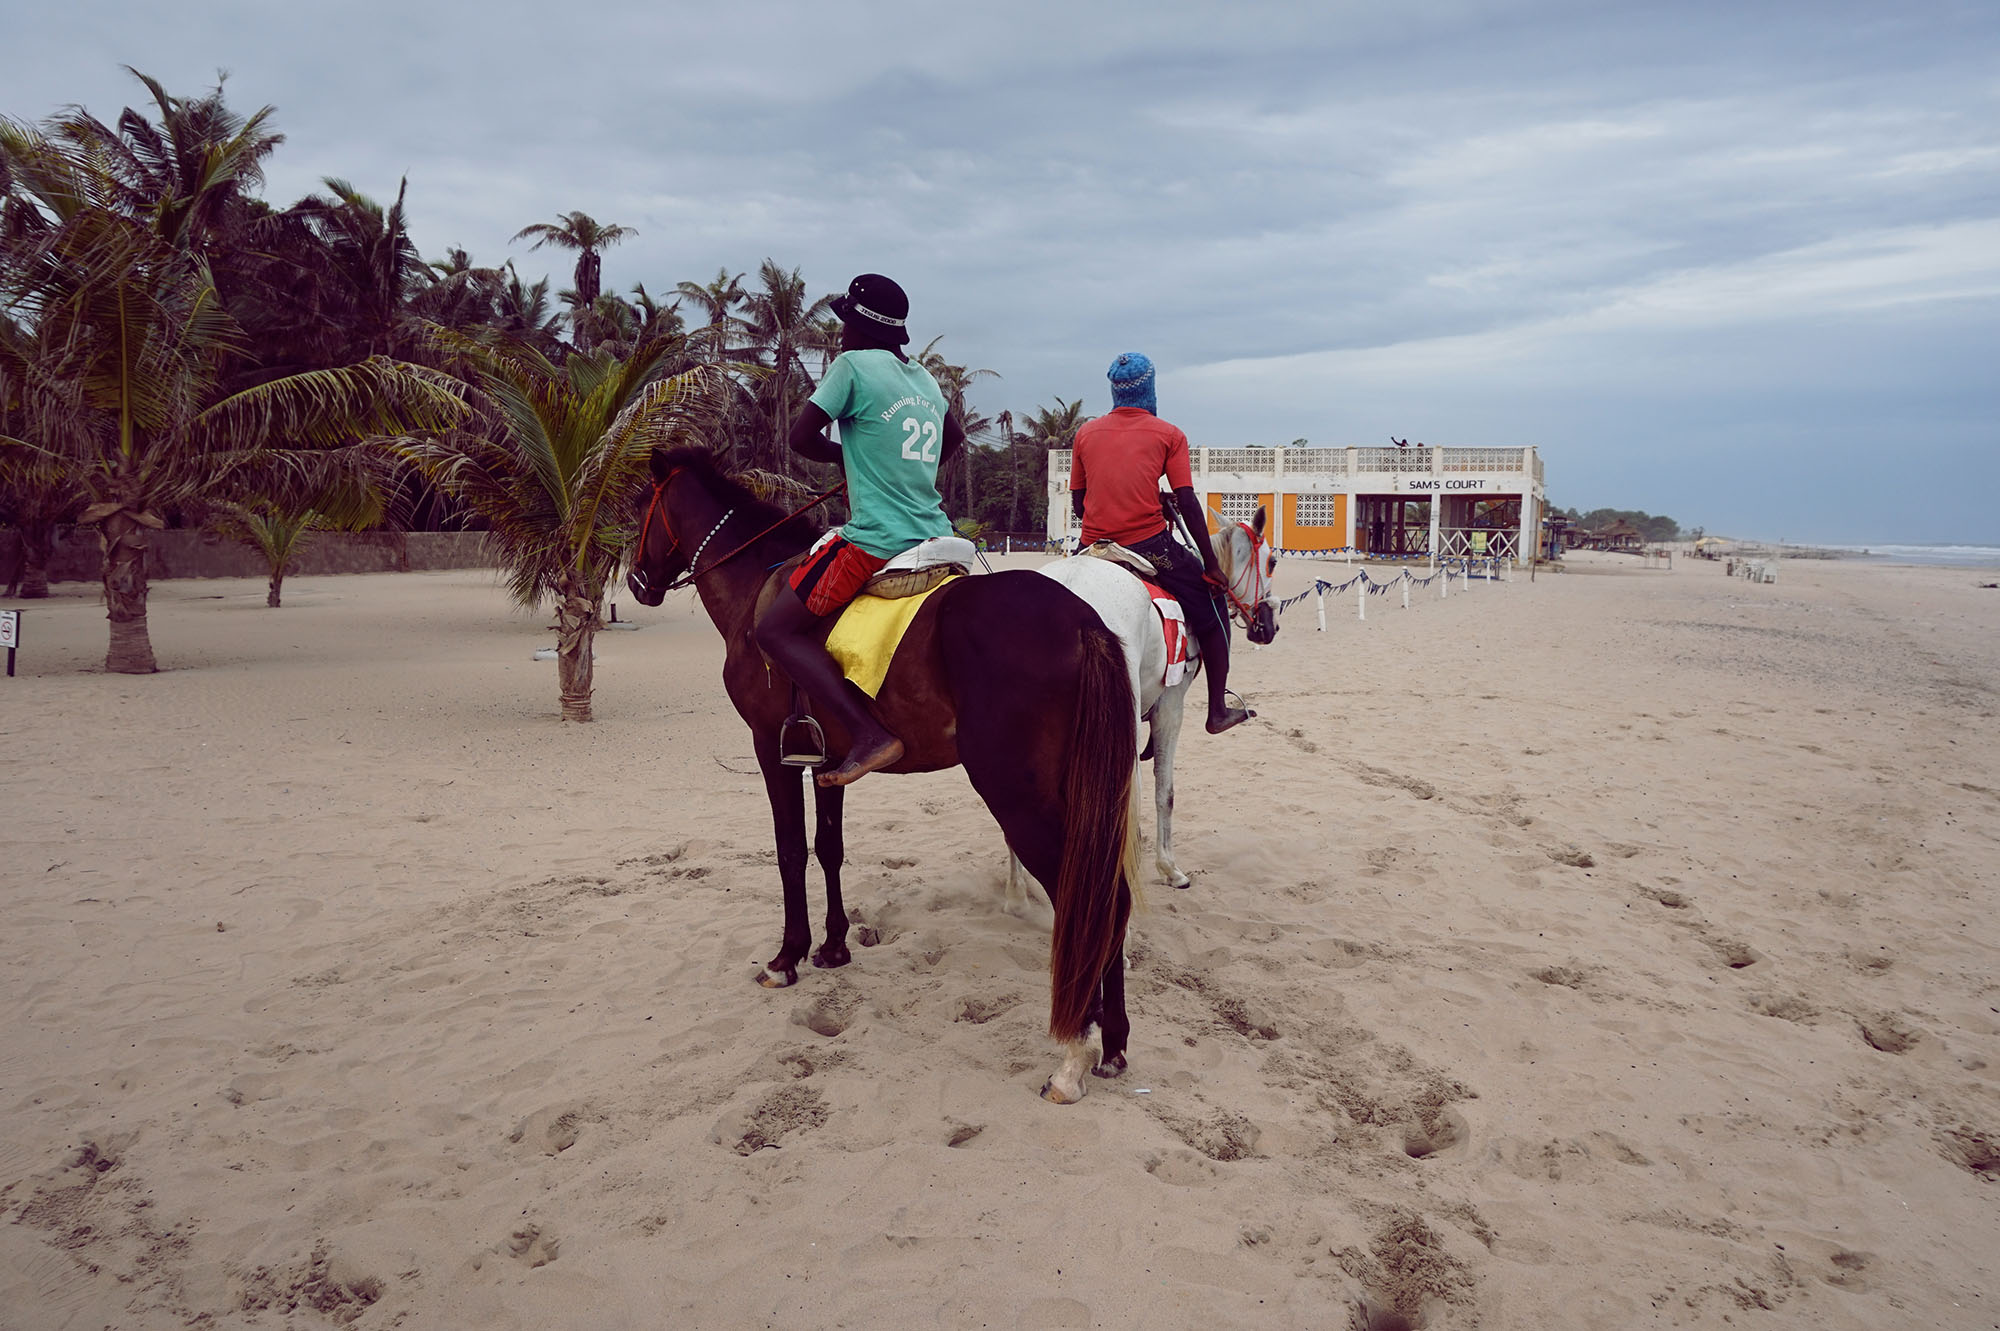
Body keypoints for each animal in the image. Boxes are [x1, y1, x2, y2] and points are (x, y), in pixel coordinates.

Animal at [624, 447, 1144, 1095]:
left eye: (640, 508)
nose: (636, 581)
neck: (755, 587)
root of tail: (1080, 619)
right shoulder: (827, 760)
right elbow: (828, 848)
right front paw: (833, 947)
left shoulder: (771, 749)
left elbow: (790, 851)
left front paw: (788, 957)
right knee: (1109, 897)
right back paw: (1112, 1040)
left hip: (1017, 796)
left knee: (1086, 898)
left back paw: (1074, 1050)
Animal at [1000, 503, 1280, 907]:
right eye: (1271, 561)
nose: (1269, 625)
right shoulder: (1169, 709)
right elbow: (1165, 792)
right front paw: (1170, 869)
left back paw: (1018, 893)